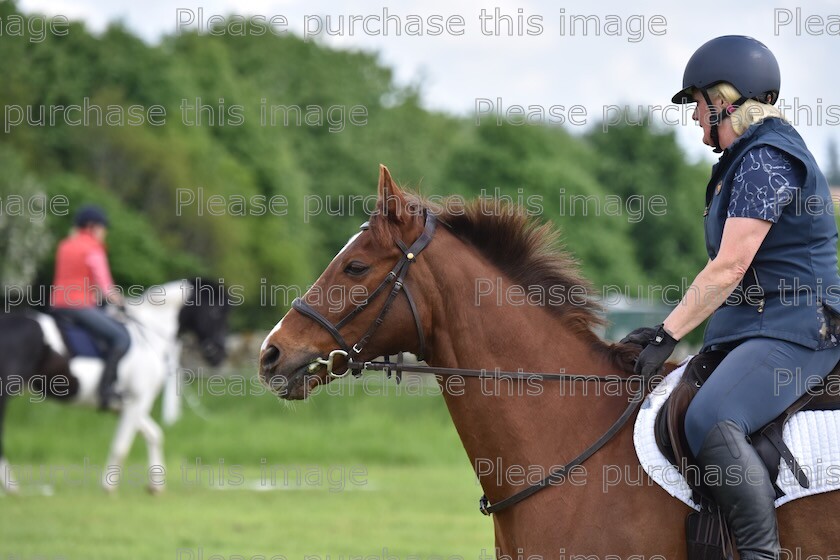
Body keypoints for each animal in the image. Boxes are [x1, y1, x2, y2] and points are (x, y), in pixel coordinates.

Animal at [0, 278, 230, 492]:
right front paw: (108, 487)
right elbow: (122, 446)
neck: (149, 335)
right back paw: (11, 486)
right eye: (216, 312)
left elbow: (154, 434)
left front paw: (156, 486)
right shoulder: (138, 401)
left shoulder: (125, 406)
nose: (220, 354)